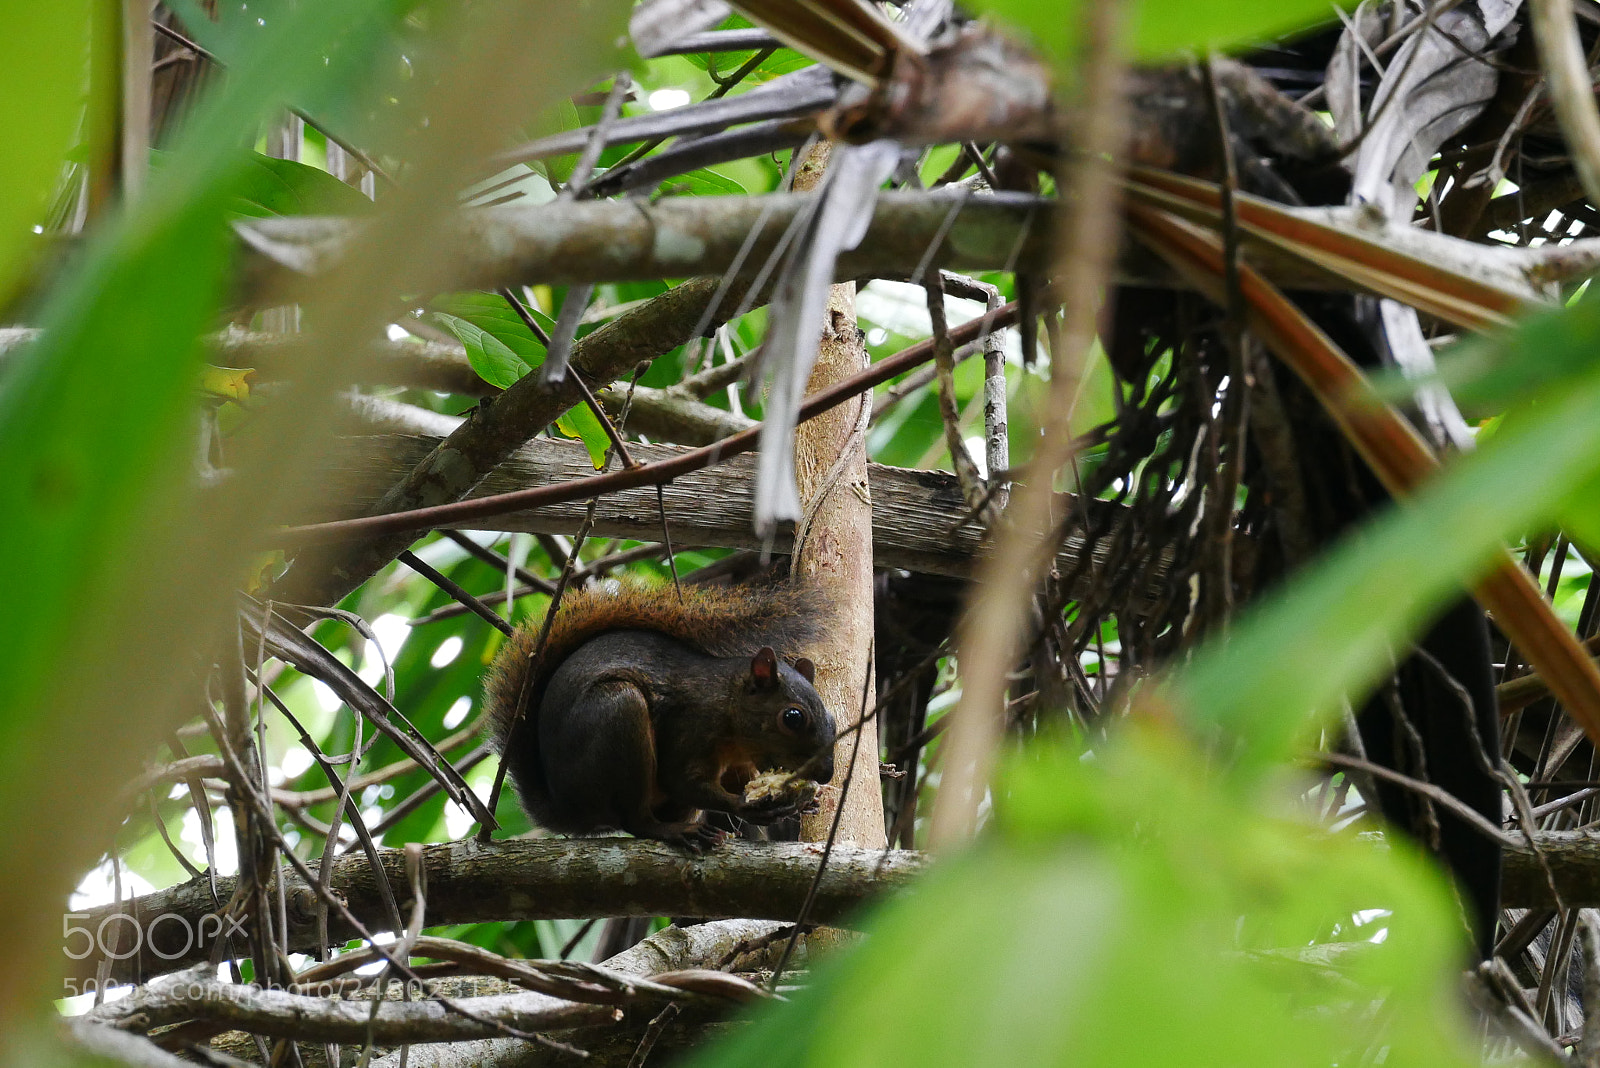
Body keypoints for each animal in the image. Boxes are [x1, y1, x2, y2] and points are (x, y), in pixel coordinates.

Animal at [485, 580, 837, 851]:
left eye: (833, 721)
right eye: (793, 717)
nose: (826, 774)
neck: (728, 707)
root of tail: (566, 807)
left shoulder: (739, 764)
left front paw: (804, 802)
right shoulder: (691, 726)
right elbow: (681, 779)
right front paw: (746, 807)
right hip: (619, 713)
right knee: (635, 820)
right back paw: (675, 831)